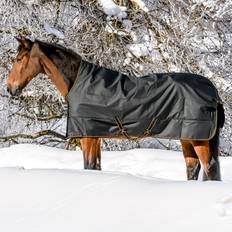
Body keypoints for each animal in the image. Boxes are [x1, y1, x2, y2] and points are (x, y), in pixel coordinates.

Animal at [7, 37, 225, 180]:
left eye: (18, 59)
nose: (10, 88)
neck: (78, 81)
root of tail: (212, 89)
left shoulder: (88, 137)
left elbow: (89, 167)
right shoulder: (95, 137)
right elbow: (95, 167)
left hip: (199, 139)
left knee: (209, 169)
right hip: (187, 138)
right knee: (193, 168)